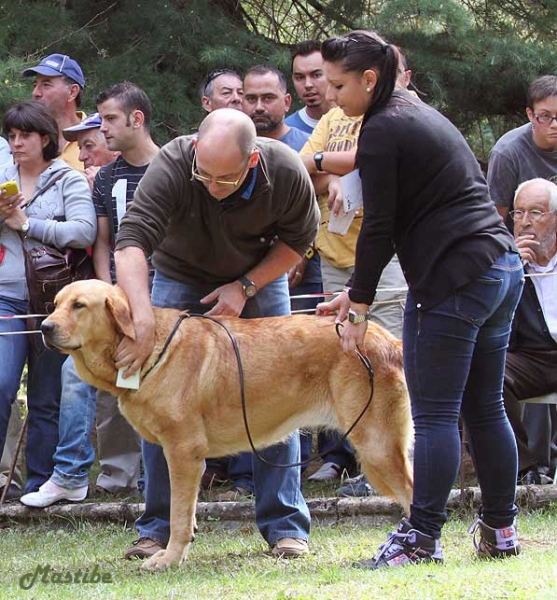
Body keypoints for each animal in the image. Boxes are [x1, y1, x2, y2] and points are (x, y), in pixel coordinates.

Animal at [40, 278, 412, 568]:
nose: (44, 327)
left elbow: (178, 515)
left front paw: (169, 559)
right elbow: (182, 511)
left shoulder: (184, 452)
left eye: (79, 305)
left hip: (376, 446)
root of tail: (388, 339)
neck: (147, 348)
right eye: (56, 304)